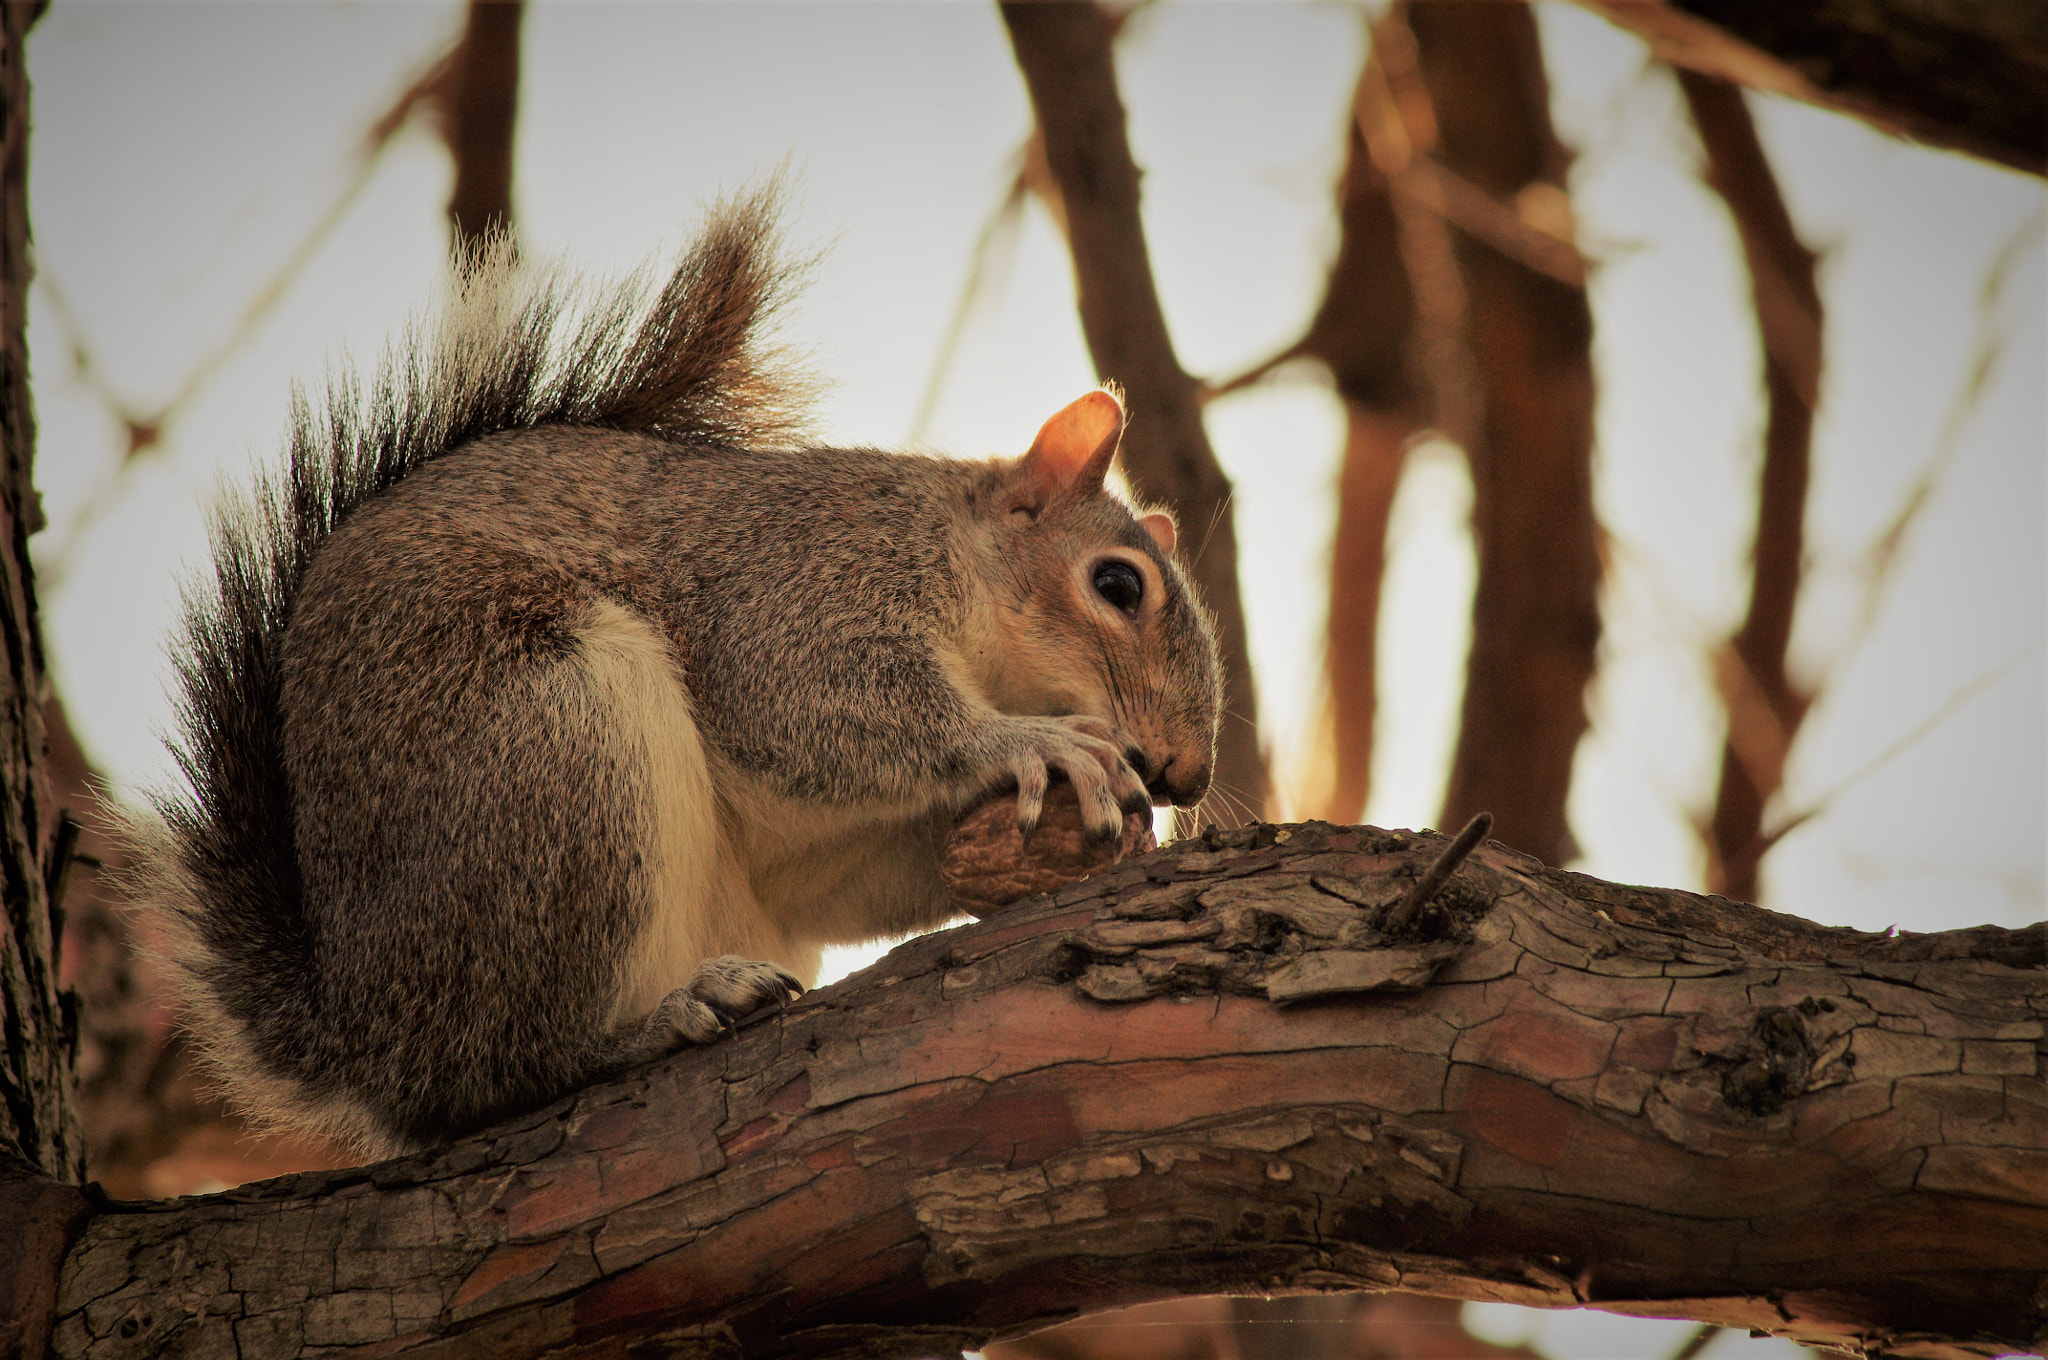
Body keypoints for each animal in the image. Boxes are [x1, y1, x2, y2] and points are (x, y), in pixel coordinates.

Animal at [128, 186, 1220, 1155]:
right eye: (1117, 585)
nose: (1184, 775)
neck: (955, 558)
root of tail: (363, 1037)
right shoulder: (801, 588)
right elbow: (815, 702)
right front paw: (1026, 741)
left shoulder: (812, 852)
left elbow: (851, 876)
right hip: (552, 754)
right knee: (497, 1069)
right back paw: (651, 1022)